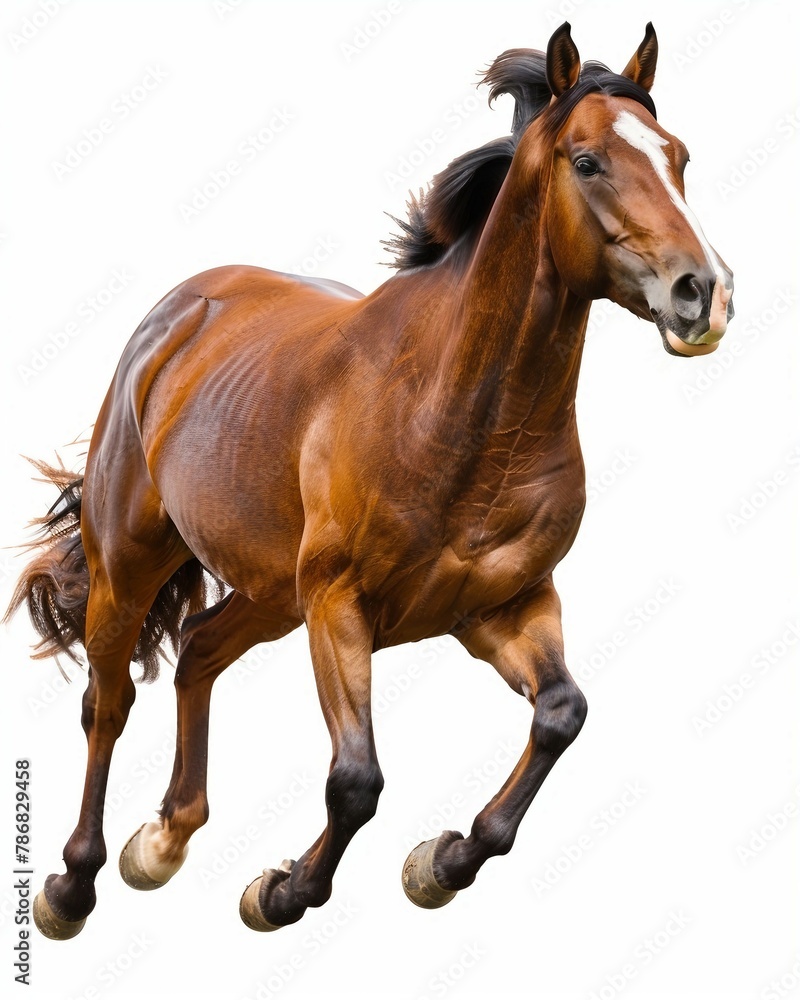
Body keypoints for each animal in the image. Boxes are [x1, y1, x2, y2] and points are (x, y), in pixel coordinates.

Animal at [6, 22, 734, 939]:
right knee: (107, 702)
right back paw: (72, 886)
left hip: (271, 594)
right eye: (588, 160)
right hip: (131, 562)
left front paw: (441, 862)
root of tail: (180, 312)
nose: (703, 293)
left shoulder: (503, 606)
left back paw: (164, 841)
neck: (458, 418)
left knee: (198, 650)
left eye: (678, 156)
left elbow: (561, 716)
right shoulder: (339, 604)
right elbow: (356, 780)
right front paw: (280, 892)